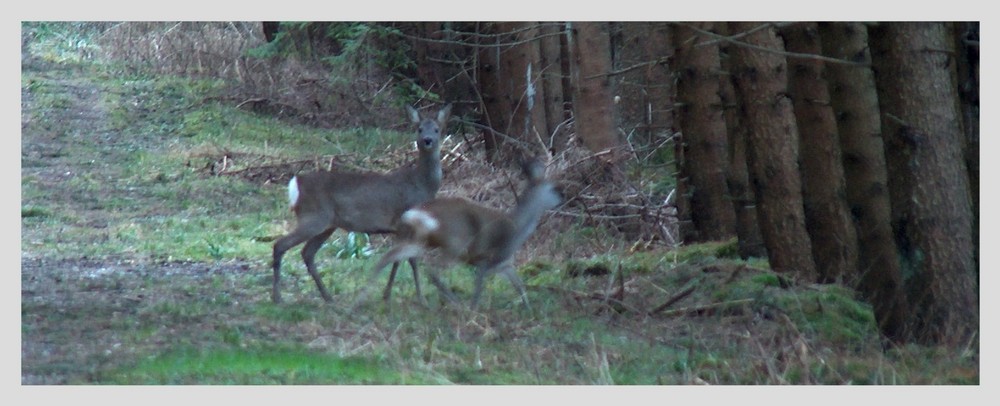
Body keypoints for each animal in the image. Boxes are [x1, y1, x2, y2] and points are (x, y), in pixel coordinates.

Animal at [270, 103, 450, 302]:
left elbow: (397, 258)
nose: (427, 140)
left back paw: (327, 297)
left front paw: (387, 295)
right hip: (314, 216)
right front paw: (420, 298)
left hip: (327, 224)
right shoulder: (405, 222)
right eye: (419, 129)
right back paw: (278, 297)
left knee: (307, 253)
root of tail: (296, 183)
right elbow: (411, 259)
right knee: (280, 245)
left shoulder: (400, 228)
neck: (421, 185)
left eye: (437, 129)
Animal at [366, 157, 560, 310]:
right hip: (455, 243)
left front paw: (529, 311)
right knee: (430, 270)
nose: (562, 198)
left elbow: (520, 286)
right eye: (554, 188)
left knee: (392, 258)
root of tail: (416, 213)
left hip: (421, 240)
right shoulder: (484, 258)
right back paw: (454, 302)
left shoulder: (504, 264)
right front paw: (473, 311)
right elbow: (478, 290)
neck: (517, 226)